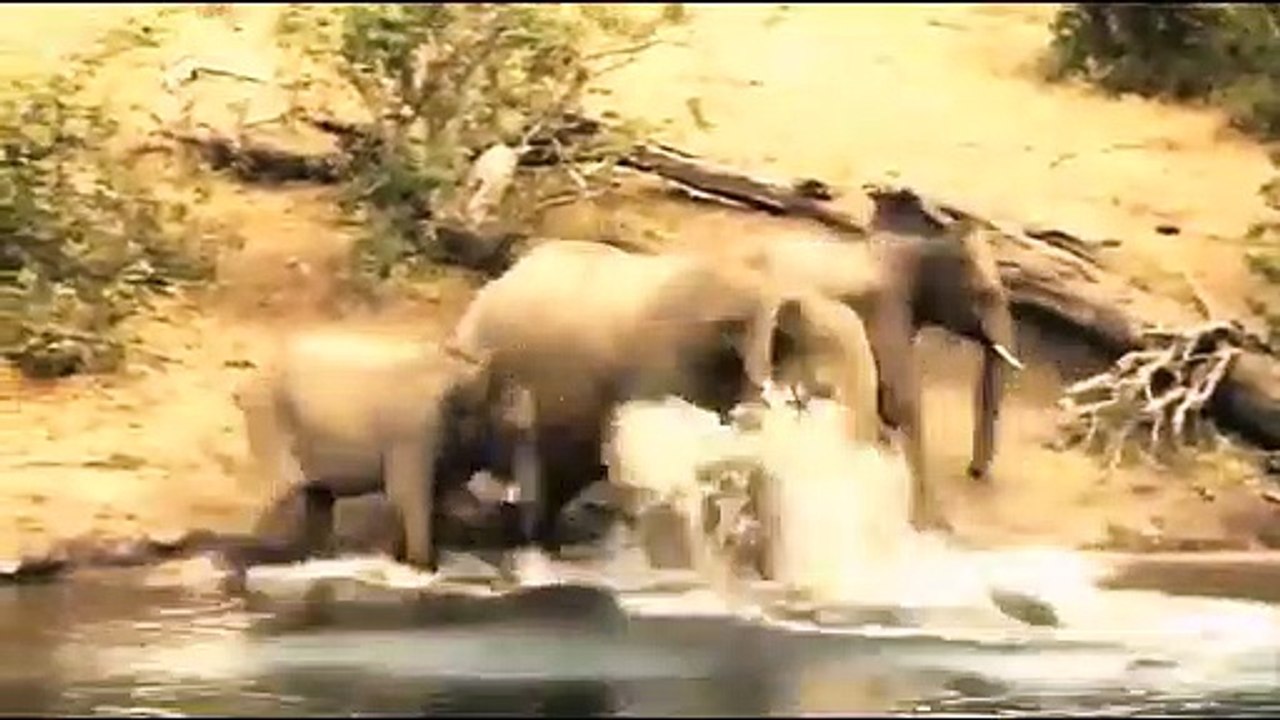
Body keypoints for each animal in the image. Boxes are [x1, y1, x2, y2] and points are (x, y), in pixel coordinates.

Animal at [234, 329, 539, 574]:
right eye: (514, 430)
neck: (461, 364)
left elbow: (443, 495)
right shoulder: (414, 432)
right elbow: (410, 495)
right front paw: (422, 570)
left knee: (317, 496)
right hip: (269, 419)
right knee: (287, 488)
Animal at [738, 218, 1023, 531]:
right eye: (985, 293)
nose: (974, 471)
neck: (922, 244)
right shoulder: (890, 306)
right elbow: (900, 398)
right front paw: (932, 524)